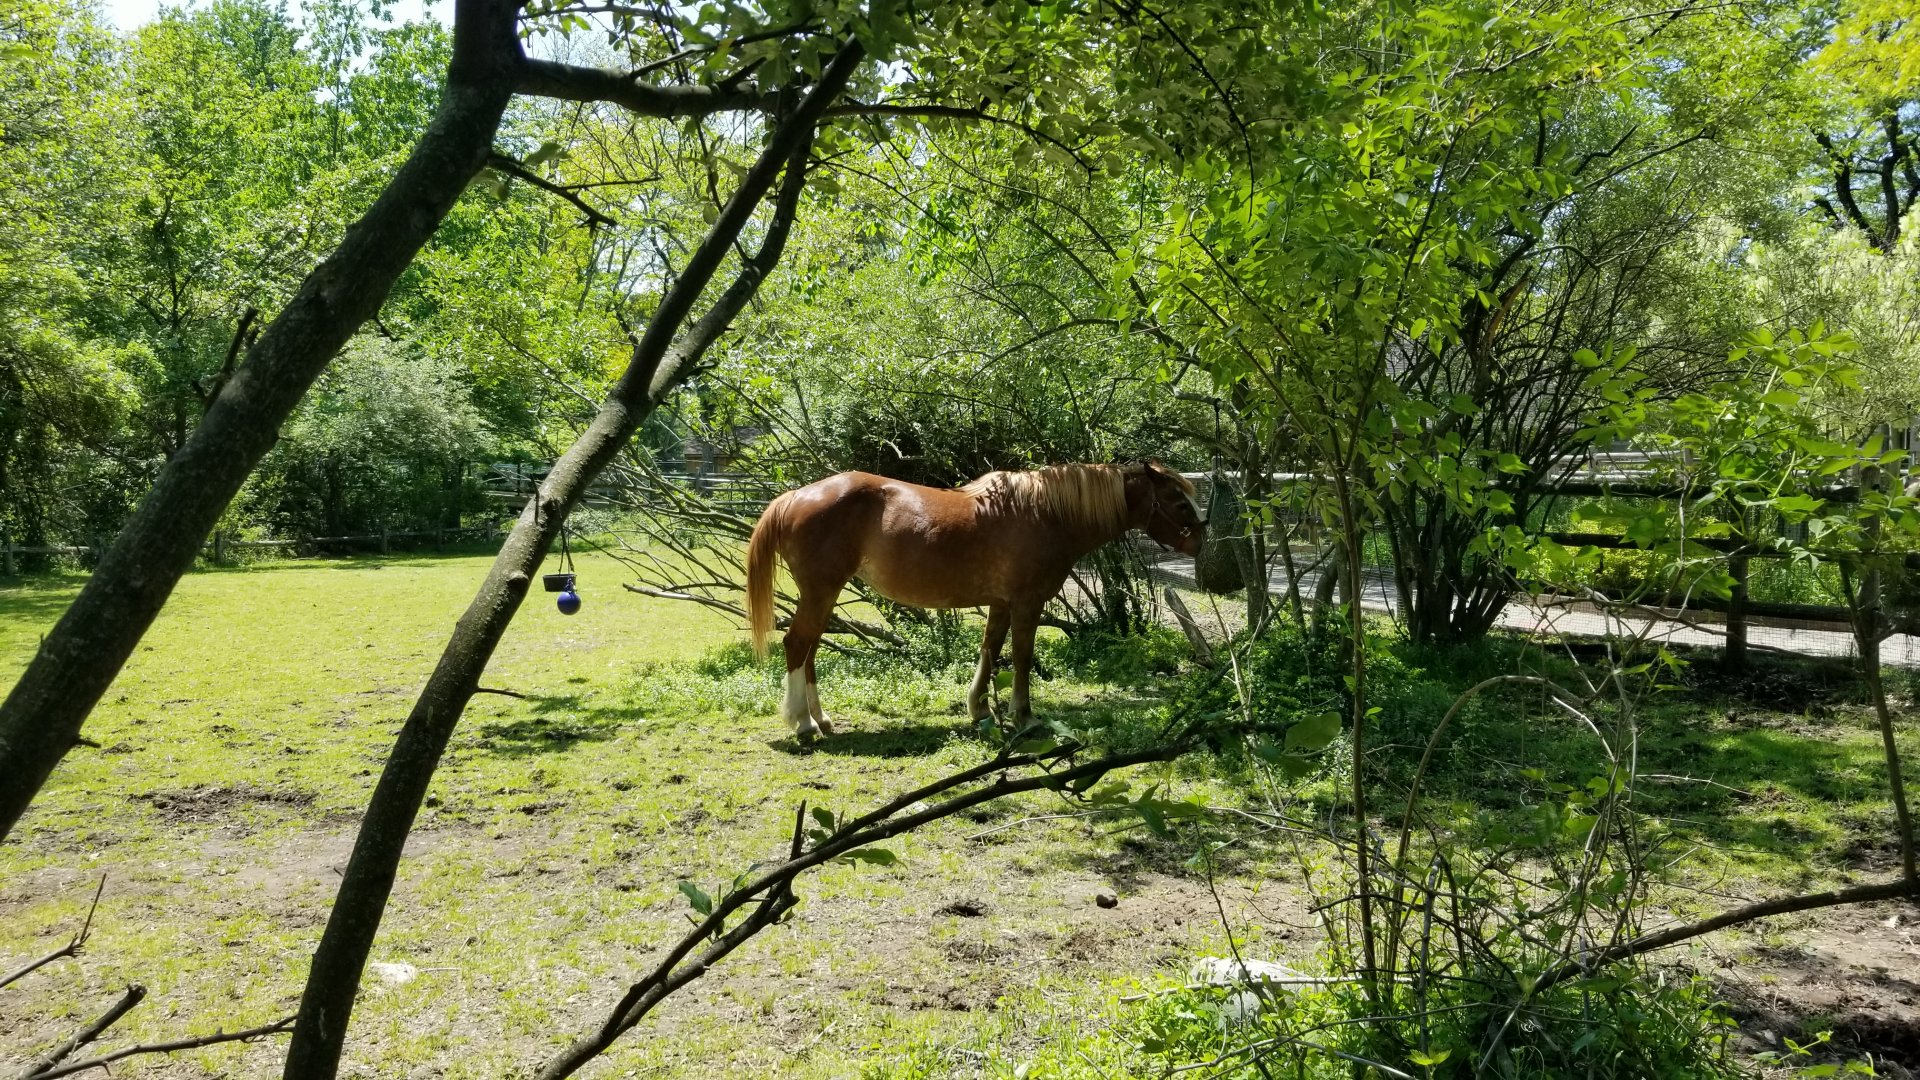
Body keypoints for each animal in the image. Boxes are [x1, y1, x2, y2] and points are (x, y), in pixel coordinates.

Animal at [745, 461, 1206, 739]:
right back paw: (803, 724)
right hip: (821, 591)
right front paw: (1024, 716)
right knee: (797, 645)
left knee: (809, 651)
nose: (1202, 544)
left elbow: (990, 650)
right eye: (1179, 501)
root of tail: (792, 498)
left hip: (824, 594)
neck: (1044, 514)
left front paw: (980, 710)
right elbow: (1020, 656)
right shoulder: (1027, 603)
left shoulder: (1001, 604)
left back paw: (820, 719)